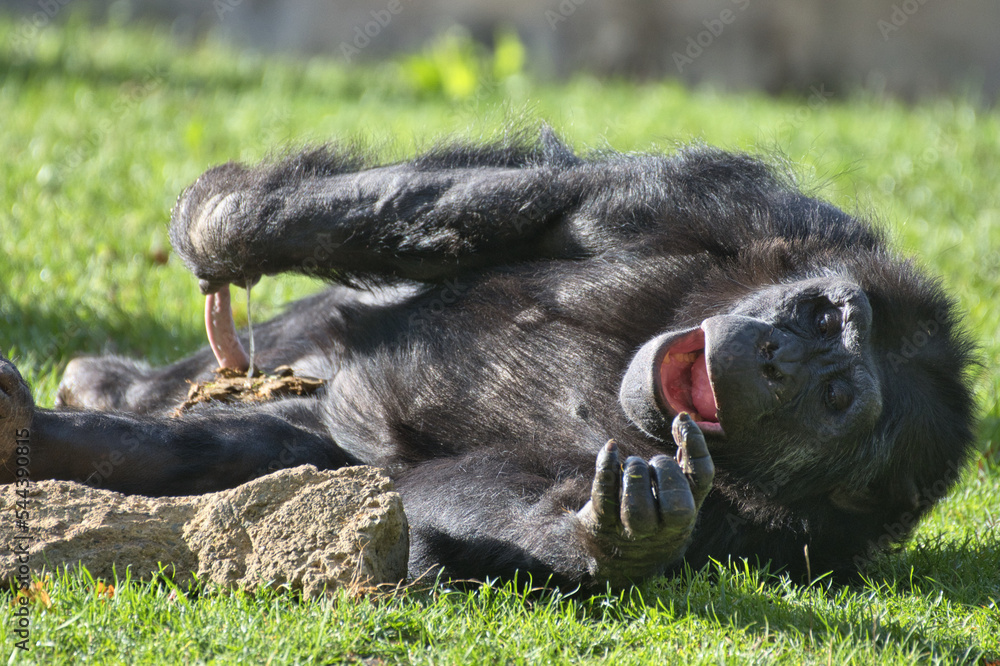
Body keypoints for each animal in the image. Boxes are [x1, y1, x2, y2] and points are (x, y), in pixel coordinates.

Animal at [0, 128, 972, 588]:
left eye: (837, 397)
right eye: (820, 316)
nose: (776, 356)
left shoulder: (775, 537)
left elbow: (446, 494)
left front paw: (615, 535)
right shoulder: (721, 207)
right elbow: (540, 203)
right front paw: (225, 226)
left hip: (321, 437)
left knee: (233, 457)